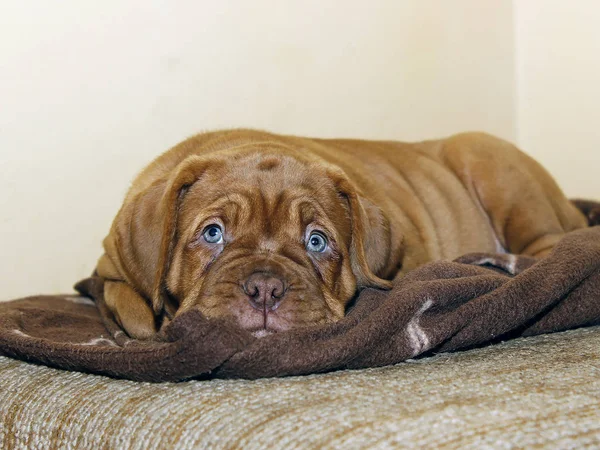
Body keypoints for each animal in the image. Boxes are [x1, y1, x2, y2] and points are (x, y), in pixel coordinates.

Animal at [97, 129, 584, 338]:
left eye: (317, 241)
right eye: (213, 233)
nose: (265, 288)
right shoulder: (112, 268)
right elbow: (130, 306)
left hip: (493, 168)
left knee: (547, 245)